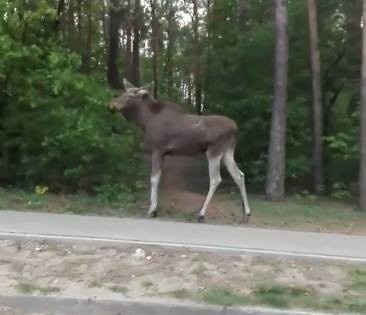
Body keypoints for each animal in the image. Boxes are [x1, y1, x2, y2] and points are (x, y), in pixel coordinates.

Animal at [108, 78, 252, 225]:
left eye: (130, 96)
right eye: (123, 92)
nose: (111, 104)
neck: (145, 121)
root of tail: (235, 128)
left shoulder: (157, 149)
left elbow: (154, 178)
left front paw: (152, 210)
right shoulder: (163, 152)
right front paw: (154, 209)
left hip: (214, 151)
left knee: (216, 179)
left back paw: (201, 213)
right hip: (228, 152)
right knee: (239, 175)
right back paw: (246, 214)